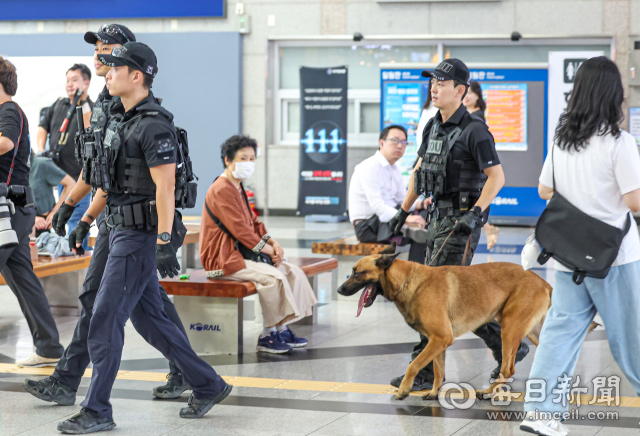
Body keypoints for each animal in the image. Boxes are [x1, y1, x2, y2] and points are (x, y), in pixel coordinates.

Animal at [338, 242, 596, 402]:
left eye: (357, 273)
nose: (340, 290)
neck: (408, 280)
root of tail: (542, 281)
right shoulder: (439, 342)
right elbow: (438, 371)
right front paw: (434, 393)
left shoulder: (440, 339)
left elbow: (414, 365)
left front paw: (403, 391)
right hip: (531, 332)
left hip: (509, 329)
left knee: (508, 368)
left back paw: (490, 393)